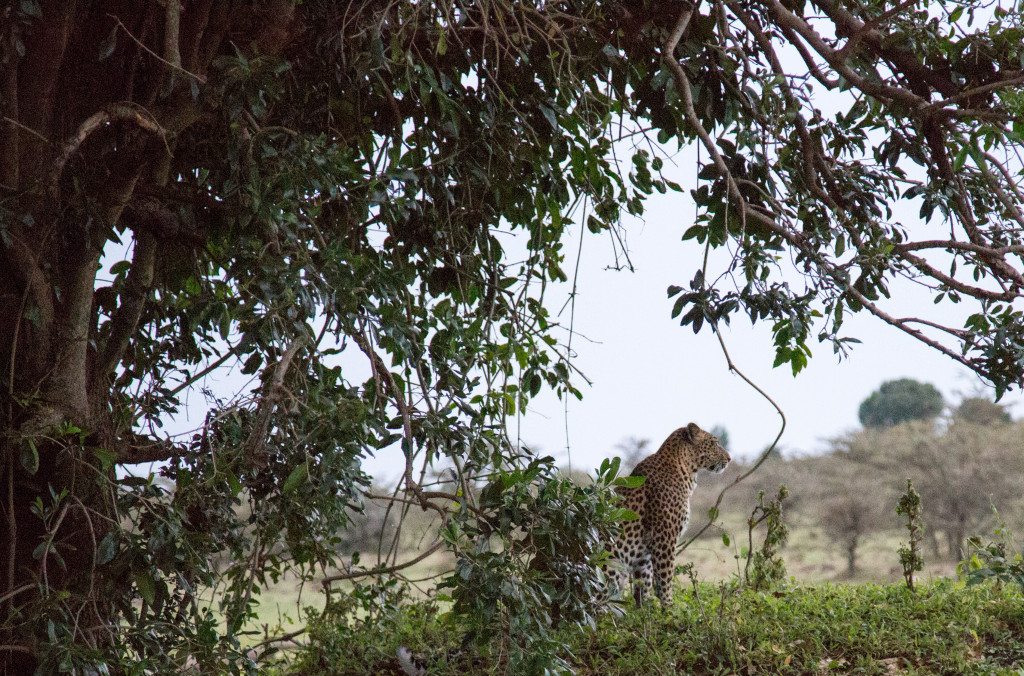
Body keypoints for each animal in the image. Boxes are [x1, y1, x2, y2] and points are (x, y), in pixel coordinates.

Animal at [602, 421, 733, 606]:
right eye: (714, 443)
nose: (729, 458)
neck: (686, 470)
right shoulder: (665, 538)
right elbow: (665, 580)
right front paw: (670, 608)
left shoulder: (645, 553)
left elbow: (645, 585)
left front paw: (648, 609)